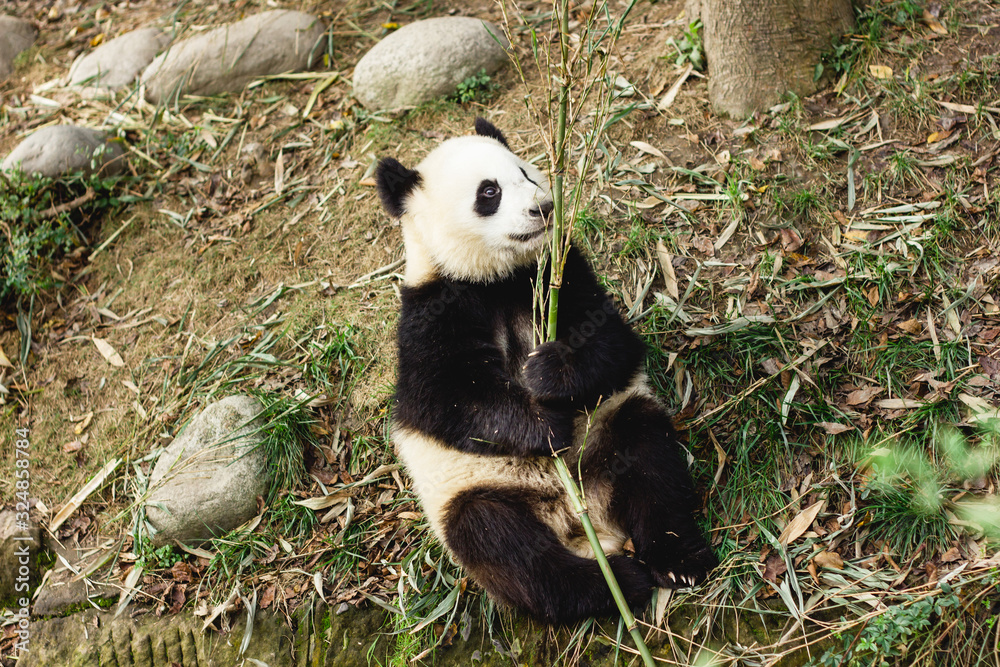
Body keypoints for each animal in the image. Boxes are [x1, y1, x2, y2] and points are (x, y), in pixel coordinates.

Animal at [376, 118, 717, 625]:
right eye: (489, 192)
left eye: (525, 171)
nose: (543, 207)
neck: (495, 277)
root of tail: (583, 521)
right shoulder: (429, 313)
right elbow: (444, 401)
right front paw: (544, 423)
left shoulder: (560, 268)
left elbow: (613, 343)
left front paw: (548, 374)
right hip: (475, 490)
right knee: (504, 546)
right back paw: (614, 582)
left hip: (607, 434)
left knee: (651, 461)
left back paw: (677, 561)